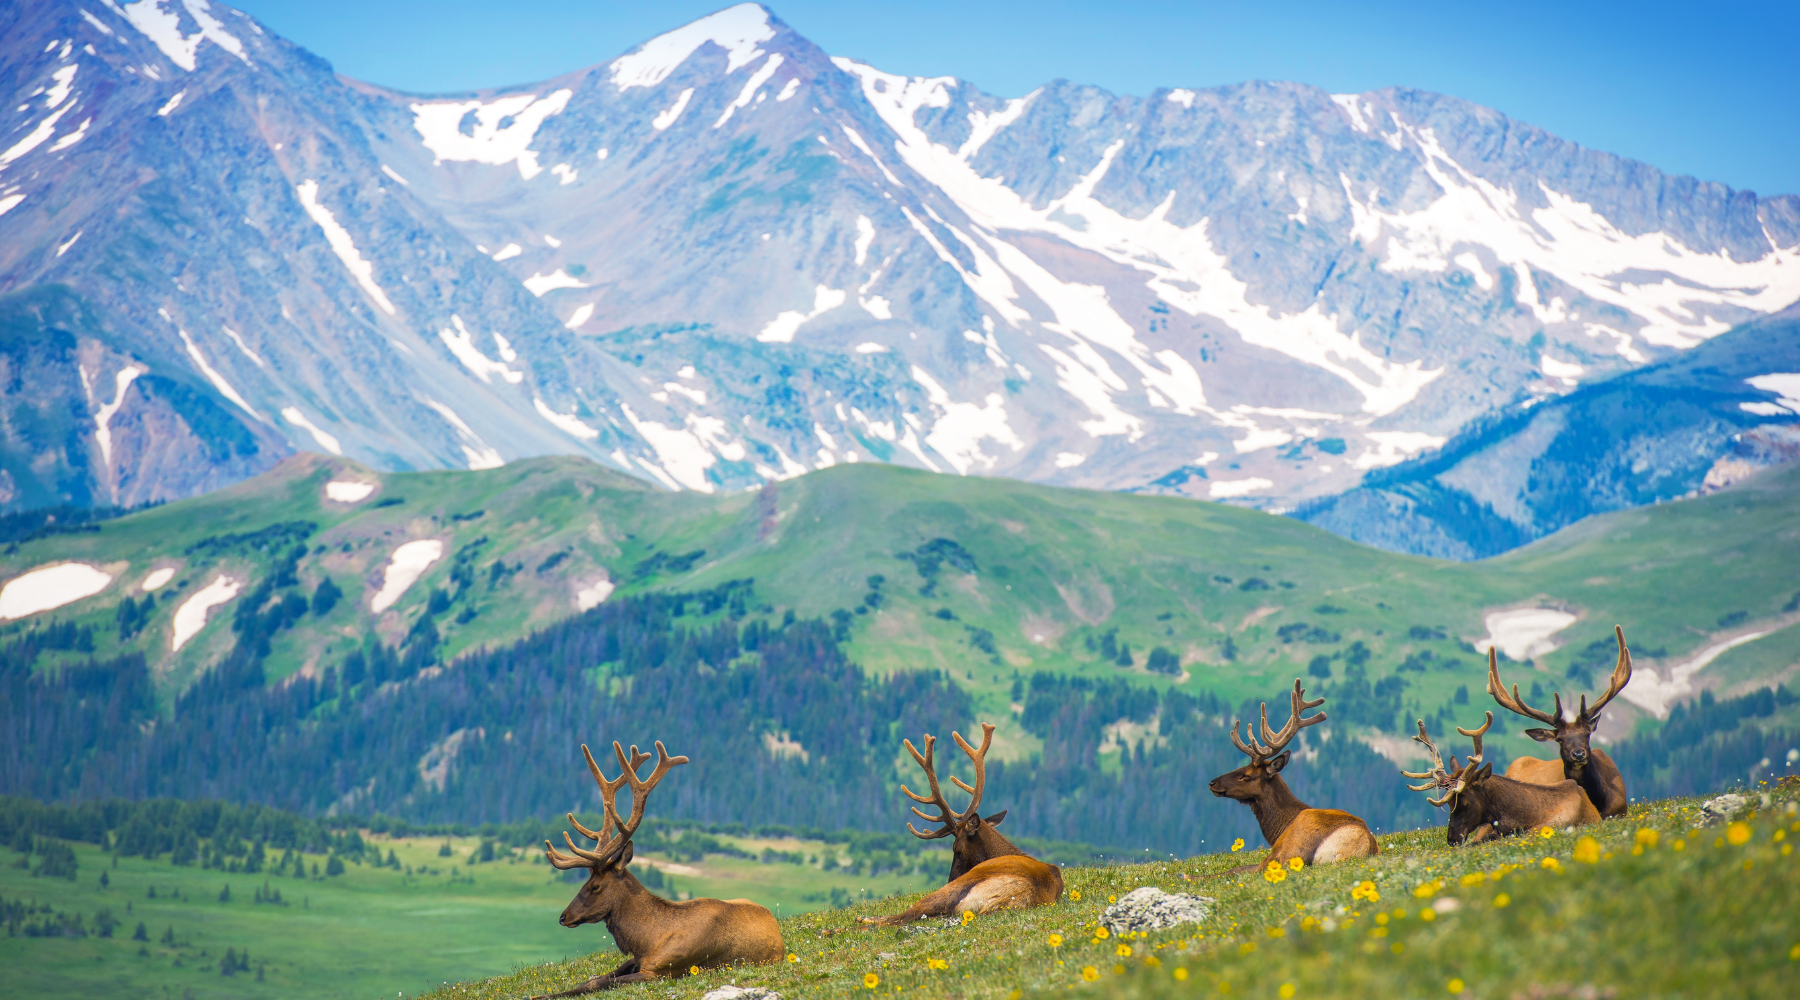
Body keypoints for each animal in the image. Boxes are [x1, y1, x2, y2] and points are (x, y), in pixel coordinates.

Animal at [532, 737, 788, 992]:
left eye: (595, 886)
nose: (563, 917)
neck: (648, 940)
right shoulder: (636, 961)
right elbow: (594, 979)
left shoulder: (659, 971)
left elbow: (597, 983)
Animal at [1209, 679, 1375, 874]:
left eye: (1246, 775)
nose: (1212, 783)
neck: (1279, 829)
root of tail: (1362, 845)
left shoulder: (1274, 852)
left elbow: (1235, 869)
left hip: (1292, 849)